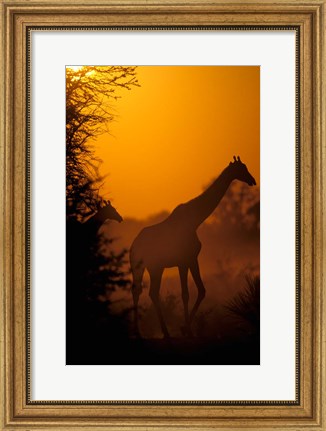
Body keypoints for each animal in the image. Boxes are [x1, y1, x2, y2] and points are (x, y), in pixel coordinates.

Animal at [131, 157, 258, 340]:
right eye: (241, 168)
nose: (252, 180)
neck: (195, 220)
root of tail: (133, 245)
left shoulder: (189, 260)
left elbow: (200, 290)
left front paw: (186, 328)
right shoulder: (185, 260)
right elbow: (187, 293)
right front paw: (186, 329)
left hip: (146, 267)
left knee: (143, 292)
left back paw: (144, 332)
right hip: (152, 267)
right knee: (148, 292)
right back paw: (160, 332)